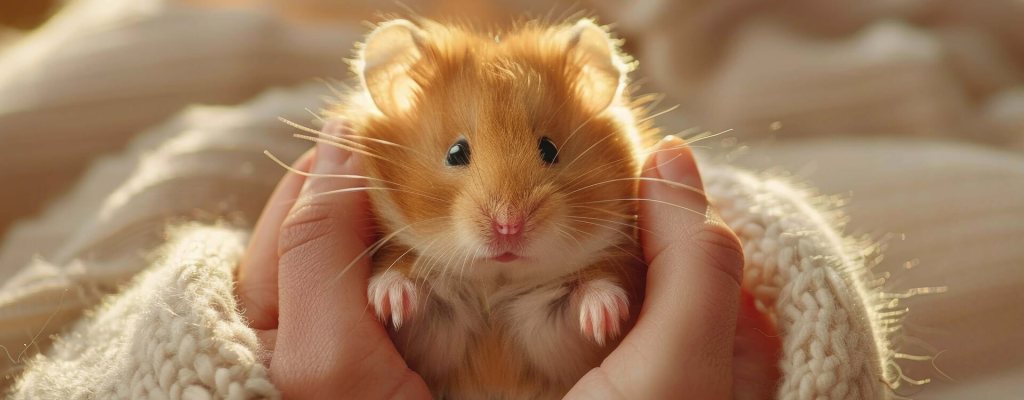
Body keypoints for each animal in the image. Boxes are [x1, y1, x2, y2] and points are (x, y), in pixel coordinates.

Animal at [327, 17, 659, 399]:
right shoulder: (427, 344)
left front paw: (605, 316)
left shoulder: (556, 342)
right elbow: (409, 298)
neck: (495, 284)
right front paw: (391, 303)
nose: (508, 225)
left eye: (550, 149)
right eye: (455, 152)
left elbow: (583, 302)